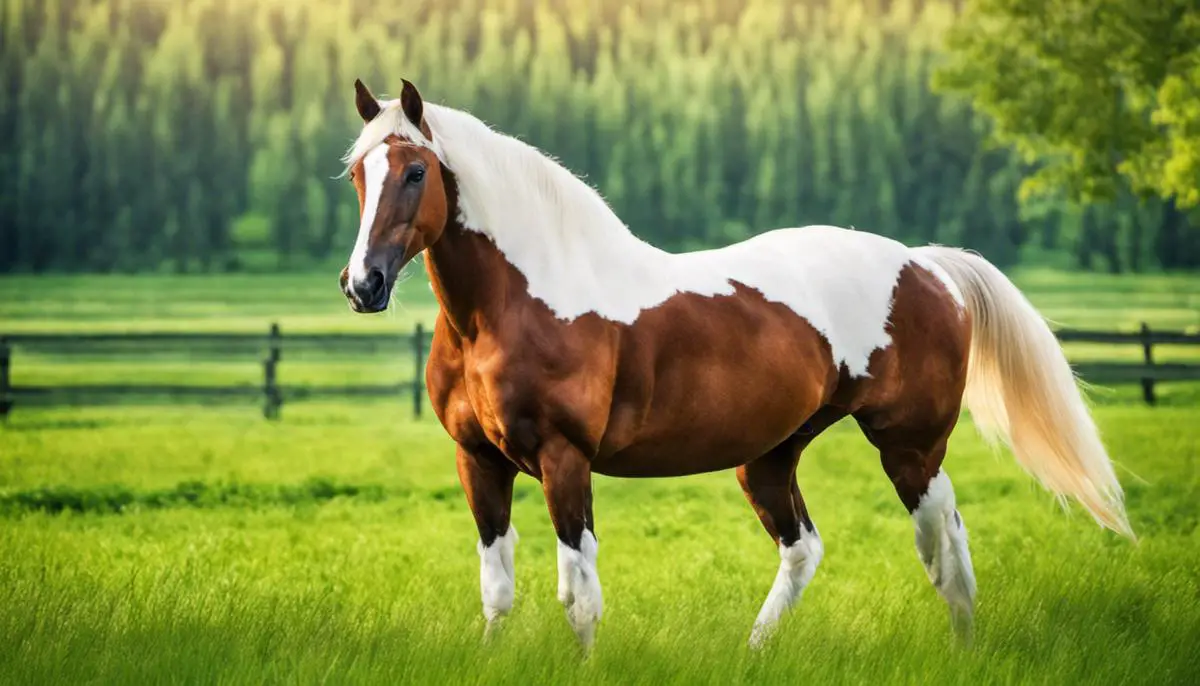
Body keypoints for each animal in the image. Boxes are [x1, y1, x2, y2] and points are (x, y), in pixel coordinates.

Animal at [336, 79, 1132, 647]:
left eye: (415, 172)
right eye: (357, 177)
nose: (362, 284)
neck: (515, 303)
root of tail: (926, 264)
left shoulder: (566, 460)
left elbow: (579, 596)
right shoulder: (479, 460)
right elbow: (498, 591)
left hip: (910, 448)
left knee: (945, 553)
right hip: (772, 456)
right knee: (807, 548)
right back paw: (754, 652)